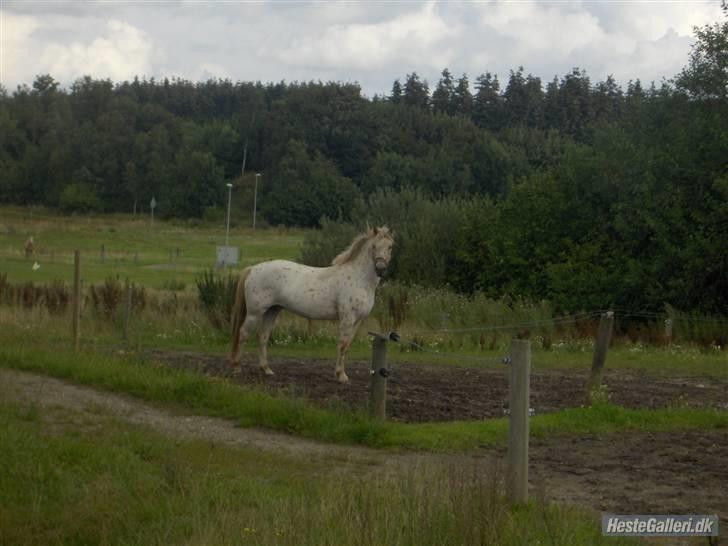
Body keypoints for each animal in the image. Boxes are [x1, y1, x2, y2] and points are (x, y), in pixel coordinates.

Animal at [230, 223, 396, 380]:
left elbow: (347, 346)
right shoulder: (347, 317)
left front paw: (341, 373)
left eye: (390, 246)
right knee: (243, 333)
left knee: (263, 336)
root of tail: (253, 269)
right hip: (255, 312)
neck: (359, 278)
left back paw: (266, 369)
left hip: (272, 310)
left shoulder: (358, 320)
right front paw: (341, 375)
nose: (380, 269)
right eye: (374, 246)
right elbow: (342, 345)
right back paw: (237, 368)